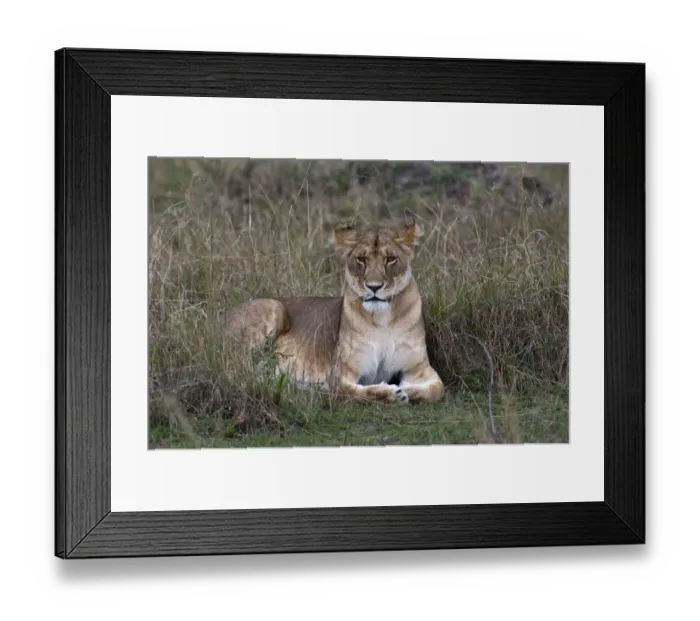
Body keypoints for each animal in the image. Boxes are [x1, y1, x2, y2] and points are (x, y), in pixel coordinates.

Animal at [223, 219, 445, 404]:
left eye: (390, 259)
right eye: (361, 259)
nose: (374, 287)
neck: (383, 319)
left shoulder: (418, 368)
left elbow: (437, 389)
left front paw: (406, 390)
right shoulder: (340, 374)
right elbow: (353, 391)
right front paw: (391, 392)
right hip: (273, 307)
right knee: (239, 372)